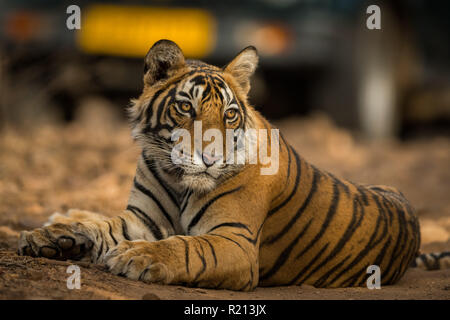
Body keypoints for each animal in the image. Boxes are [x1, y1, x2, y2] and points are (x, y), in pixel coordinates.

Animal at [16, 39, 446, 290]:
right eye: (186, 108)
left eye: (230, 115)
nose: (210, 159)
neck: (178, 181)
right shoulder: (142, 219)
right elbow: (101, 226)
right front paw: (50, 236)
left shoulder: (234, 241)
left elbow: (185, 247)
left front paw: (138, 256)